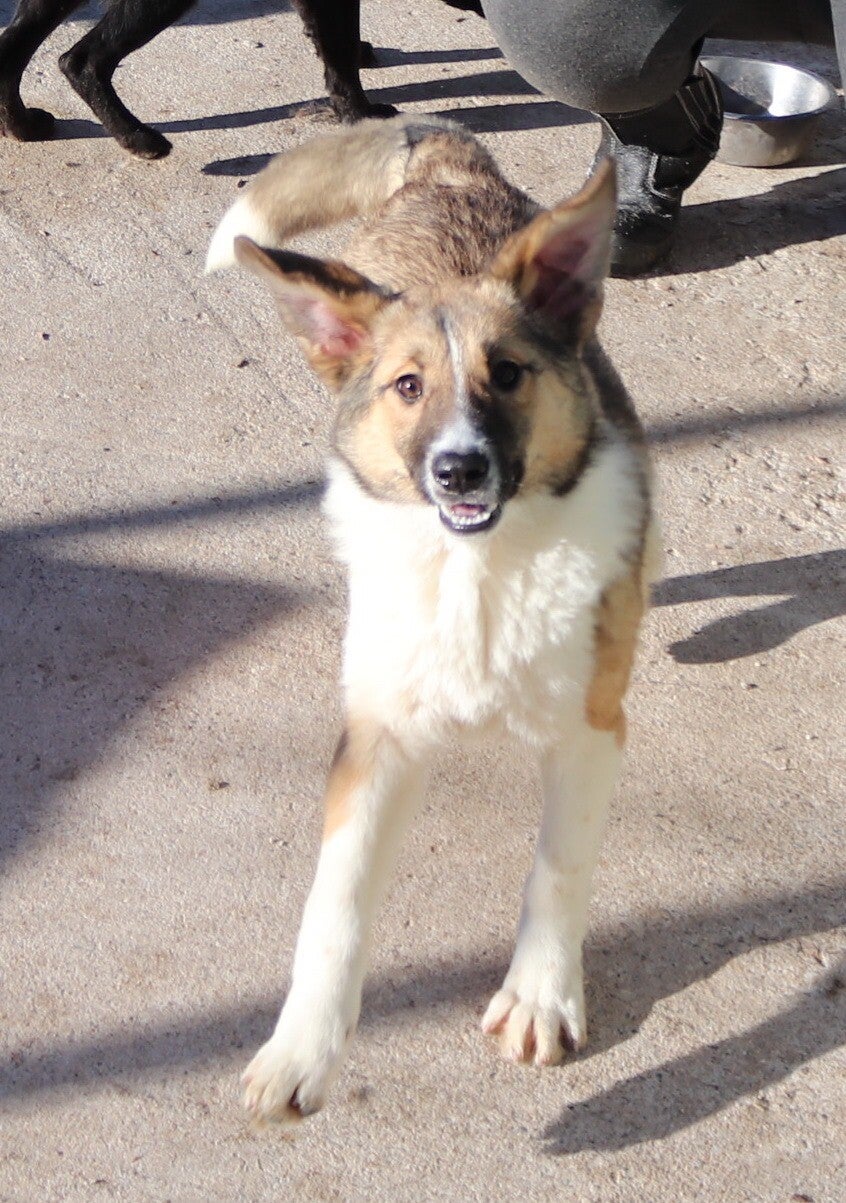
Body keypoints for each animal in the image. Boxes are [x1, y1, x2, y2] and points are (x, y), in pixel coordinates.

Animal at [0, 0, 483, 159]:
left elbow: (337, 41)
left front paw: (363, 55)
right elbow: (338, 49)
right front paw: (360, 114)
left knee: (12, 47)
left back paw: (22, 126)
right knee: (82, 59)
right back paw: (138, 139)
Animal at [206, 115, 657, 1124]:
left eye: (509, 374)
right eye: (407, 387)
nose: (458, 470)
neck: (476, 575)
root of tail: (449, 159)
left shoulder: (591, 730)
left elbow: (560, 864)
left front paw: (540, 993)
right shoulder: (374, 737)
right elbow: (332, 904)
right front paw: (302, 1046)